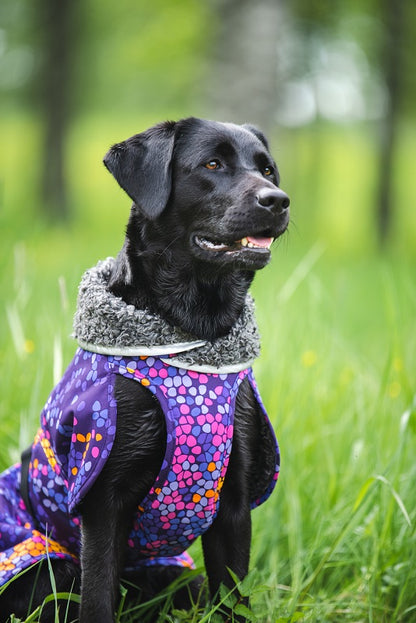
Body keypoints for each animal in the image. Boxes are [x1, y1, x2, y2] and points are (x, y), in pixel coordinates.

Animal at [0, 118, 290, 623]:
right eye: (212, 164)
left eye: (267, 169)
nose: (277, 199)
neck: (193, 337)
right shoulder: (102, 498)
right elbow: (98, 597)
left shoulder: (234, 498)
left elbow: (231, 593)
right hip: (47, 568)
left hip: (175, 576)